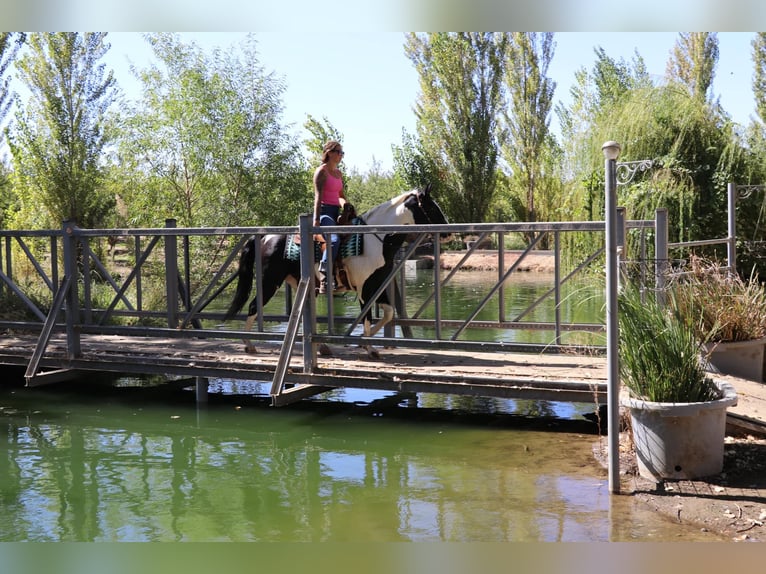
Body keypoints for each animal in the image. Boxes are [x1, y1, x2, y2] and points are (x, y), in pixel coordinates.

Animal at [224, 184, 449, 358]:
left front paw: (362, 341)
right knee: (254, 306)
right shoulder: (364, 288)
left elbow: (388, 313)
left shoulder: (377, 284)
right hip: (269, 281)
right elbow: (367, 315)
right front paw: (370, 348)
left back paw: (322, 346)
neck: (376, 239)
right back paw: (249, 344)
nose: (447, 232)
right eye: (431, 207)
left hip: (298, 283)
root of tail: (265, 237)